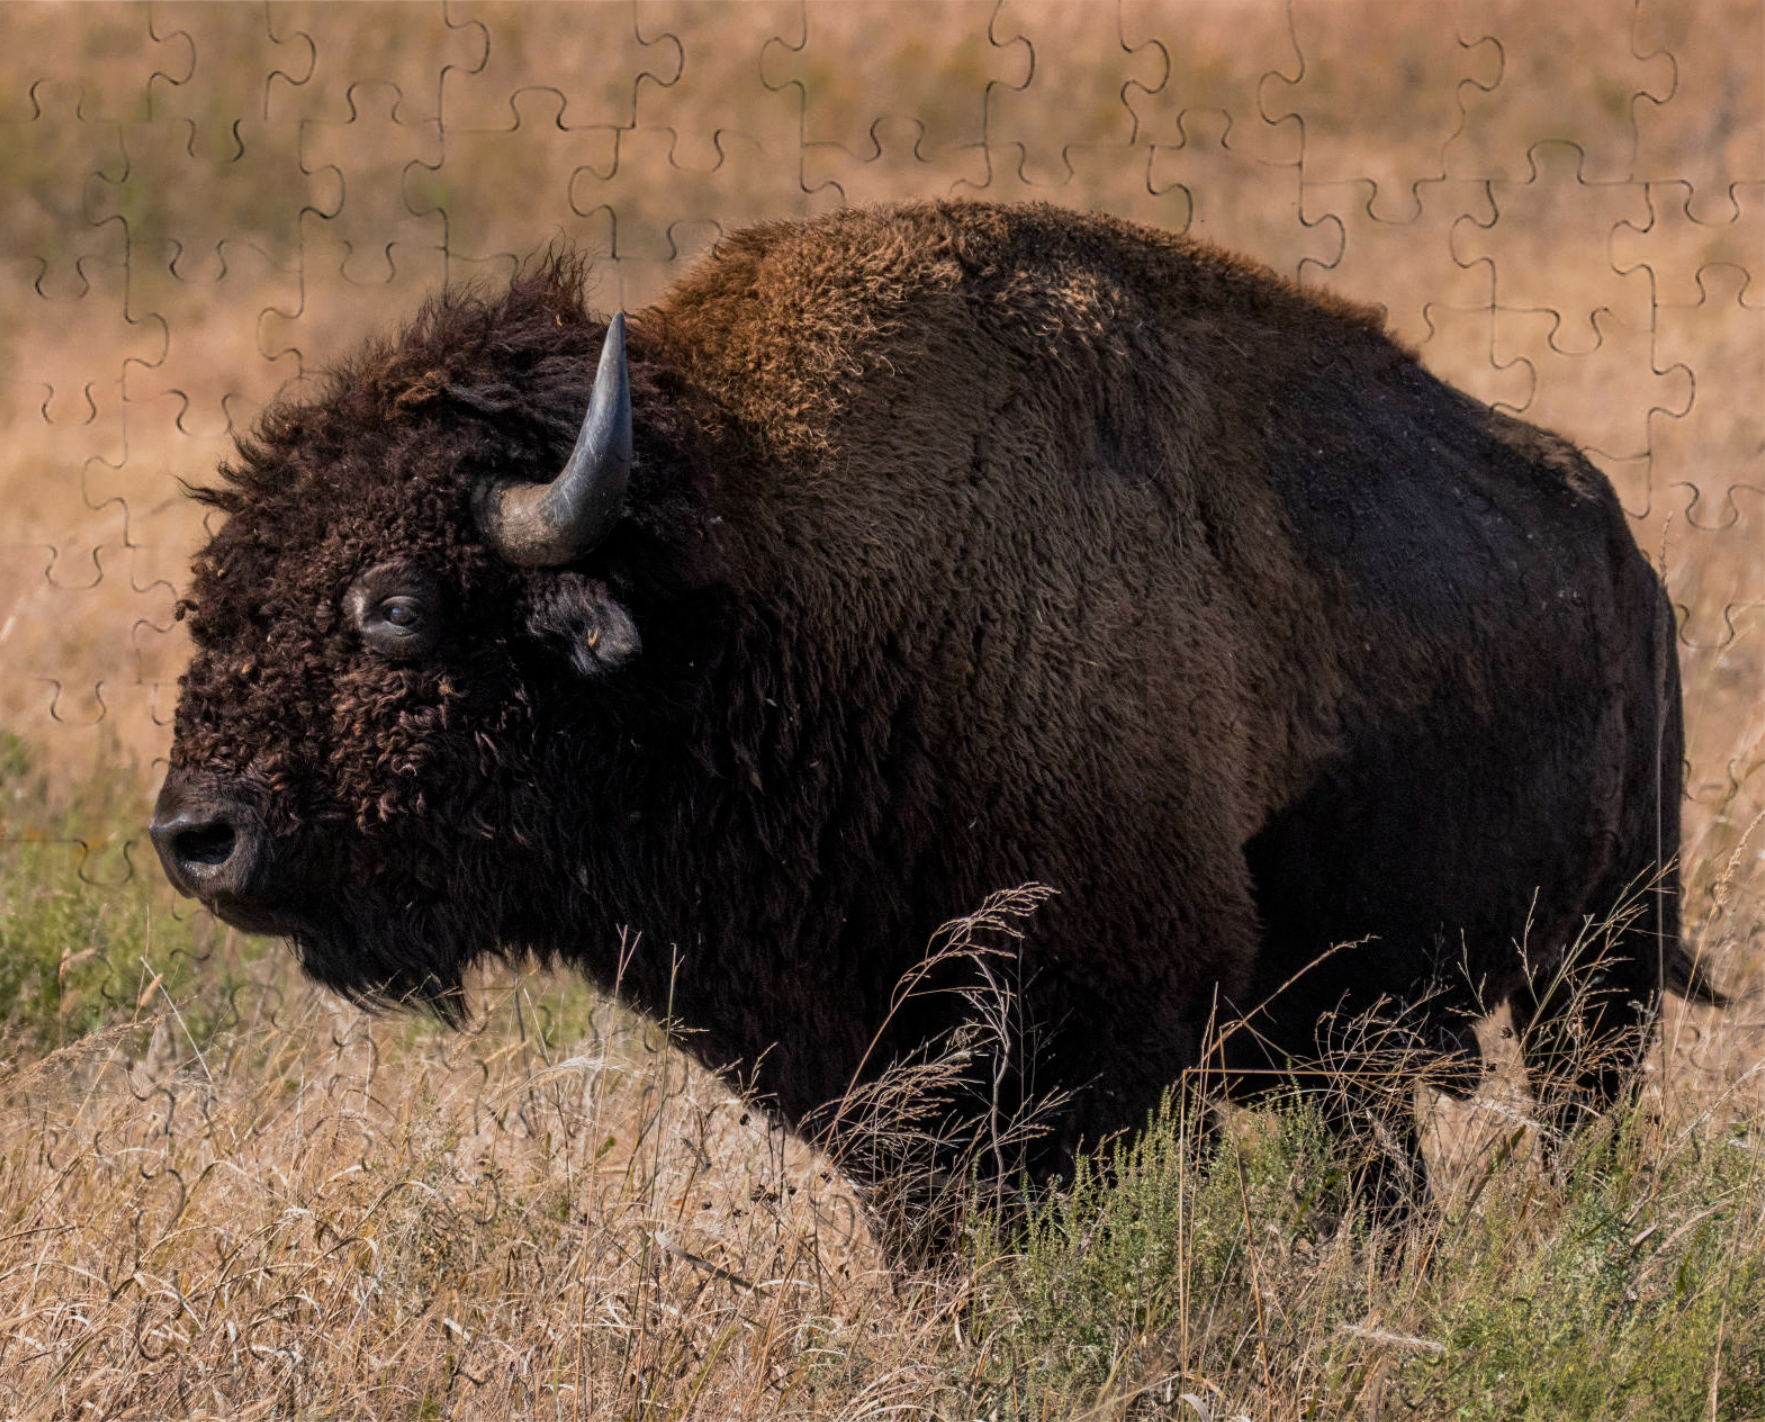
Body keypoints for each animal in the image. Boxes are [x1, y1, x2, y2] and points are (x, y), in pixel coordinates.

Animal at [155, 197, 1722, 1227]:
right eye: (215, 596)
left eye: (394, 605)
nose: (196, 837)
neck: (764, 578)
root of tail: (1626, 560)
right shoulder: (868, 1063)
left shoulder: (1099, 1037)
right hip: (1356, 1028)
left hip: (1597, 964)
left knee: (1568, 1114)